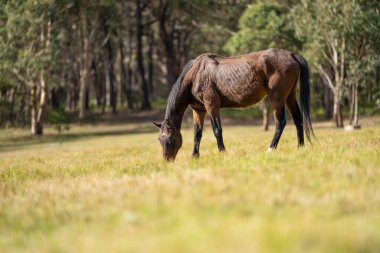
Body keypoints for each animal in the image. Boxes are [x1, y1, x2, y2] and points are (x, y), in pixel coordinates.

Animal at [153, 48, 314, 161]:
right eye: (159, 139)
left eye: (170, 138)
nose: (167, 160)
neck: (195, 74)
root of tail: (292, 55)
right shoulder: (199, 110)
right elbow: (197, 134)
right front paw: (195, 156)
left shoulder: (212, 106)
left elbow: (217, 130)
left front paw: (222, 152)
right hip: (290, 96)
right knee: (298, 119)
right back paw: (300, 147)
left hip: (277, 98)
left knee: (281, 122)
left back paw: (271, 149)